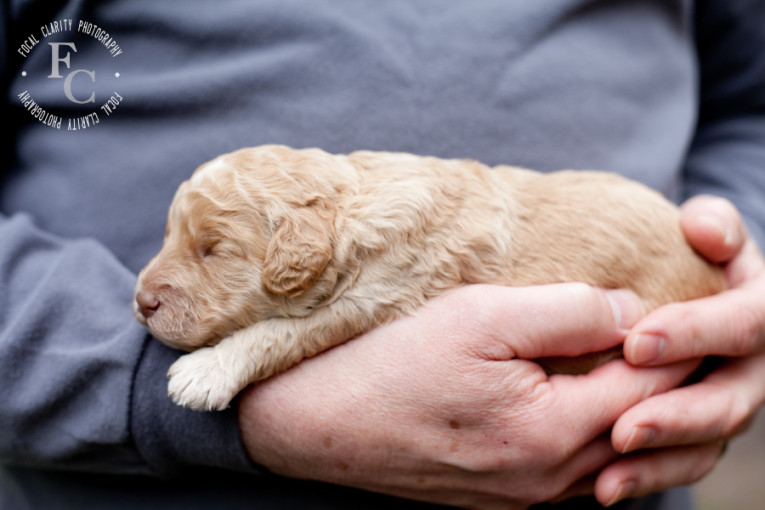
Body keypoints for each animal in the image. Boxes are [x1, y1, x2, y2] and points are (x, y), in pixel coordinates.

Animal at [131, 143, 724, 410]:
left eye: (213, 250)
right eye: (169, 235)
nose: (141, 302)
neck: (354, 204)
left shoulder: (378, 292)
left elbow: (283, 331)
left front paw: (207, 372)